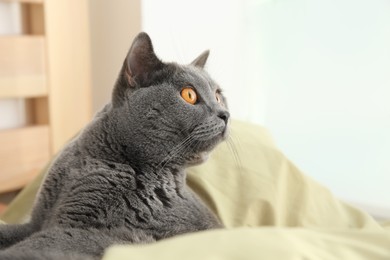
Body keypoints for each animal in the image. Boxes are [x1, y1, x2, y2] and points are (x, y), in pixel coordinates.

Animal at [0, 33, 229, 260]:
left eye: (218, 96)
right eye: (189, 95)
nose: (225, 114)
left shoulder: (98, 232)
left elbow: (39, 244)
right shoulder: (34, 222)